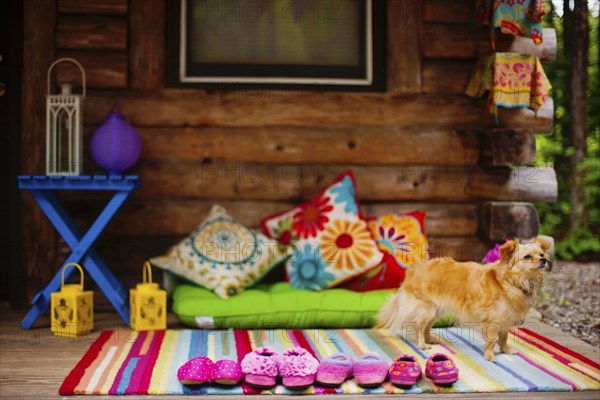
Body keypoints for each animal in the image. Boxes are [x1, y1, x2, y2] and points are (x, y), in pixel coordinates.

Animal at [378, 239, 552, 364]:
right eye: (527, 257)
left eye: (541, 254)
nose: (543, 259)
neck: (514, 282)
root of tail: (415, 269)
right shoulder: (494, 320)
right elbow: (491, 340)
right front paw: (490, 356)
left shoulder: (506, 319)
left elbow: (504, 337)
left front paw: (506, 350)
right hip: (426, 309)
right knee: (419, 326)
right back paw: (422, 344)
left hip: (437, 311)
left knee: (427, 326)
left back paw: (429, 339)